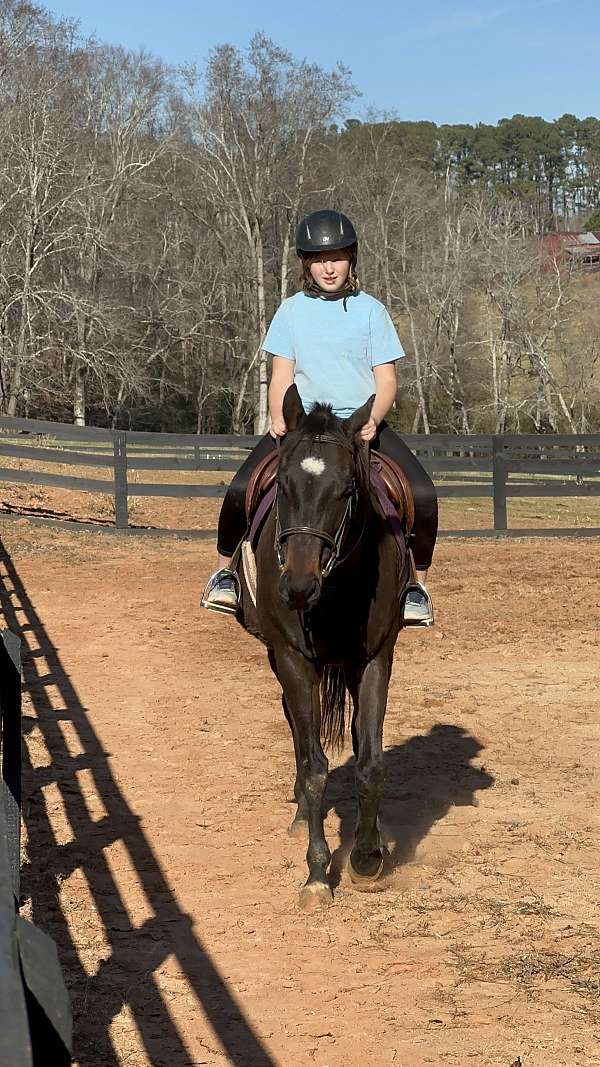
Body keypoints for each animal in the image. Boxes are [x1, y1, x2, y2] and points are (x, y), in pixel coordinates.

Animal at [235, 384, 407, 909]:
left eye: (347, 490)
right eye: (283, 486)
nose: (298, 585)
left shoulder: (373, 660)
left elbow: (370, 760)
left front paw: (367, 855)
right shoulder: (295, 661)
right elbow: (314, 767)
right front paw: (316, 873)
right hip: (279, 658)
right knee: (295, 725)